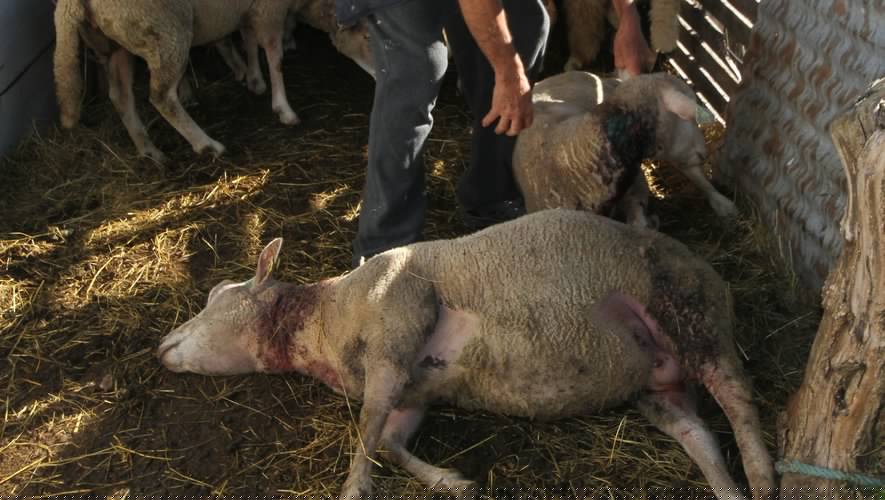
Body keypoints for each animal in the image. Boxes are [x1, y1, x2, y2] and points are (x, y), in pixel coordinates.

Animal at [157, 209, 776, 500]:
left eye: (219, 296)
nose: (162, 346)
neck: (329, 319)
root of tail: (707, 269)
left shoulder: (396, 327)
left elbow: (367, 431)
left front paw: (355, 486)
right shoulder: (411, 392)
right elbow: (389, 439)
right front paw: (451, 482)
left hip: (691, 312)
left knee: (739, 402)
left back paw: (763, 476)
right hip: (655, 383)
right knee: (697, 432)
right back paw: (728, 488)